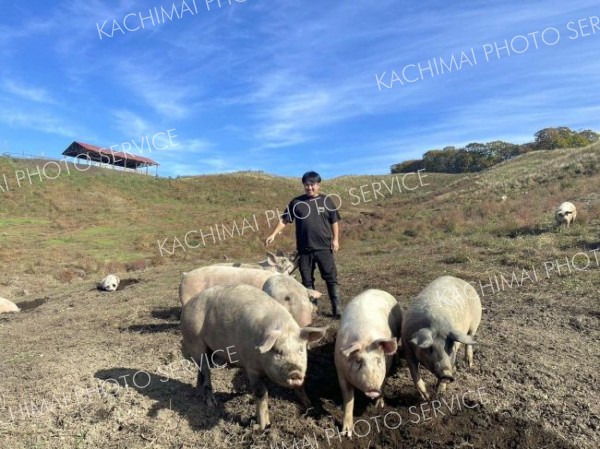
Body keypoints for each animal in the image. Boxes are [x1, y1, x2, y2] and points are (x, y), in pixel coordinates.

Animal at [180, 286, 326, 428]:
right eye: (278, 351)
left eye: (301, 349)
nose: (294, 372)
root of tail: (188, 305)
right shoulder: (251, 367)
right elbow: (261, 392)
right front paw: (264, 426)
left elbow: (301, 388)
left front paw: (310, 407)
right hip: (195, 340)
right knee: (206, 371)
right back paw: (211, 403)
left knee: (200, 370)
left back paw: (198, 392)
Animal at [332, 288, 404, 436]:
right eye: (358, 361)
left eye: (378, 360)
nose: (372, 389)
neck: (365, 338)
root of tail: (379, 290)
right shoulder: (340, 369)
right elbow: (348, 397)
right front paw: (346, 434)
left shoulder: (386, 365)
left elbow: (383, 382)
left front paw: (379, 405)